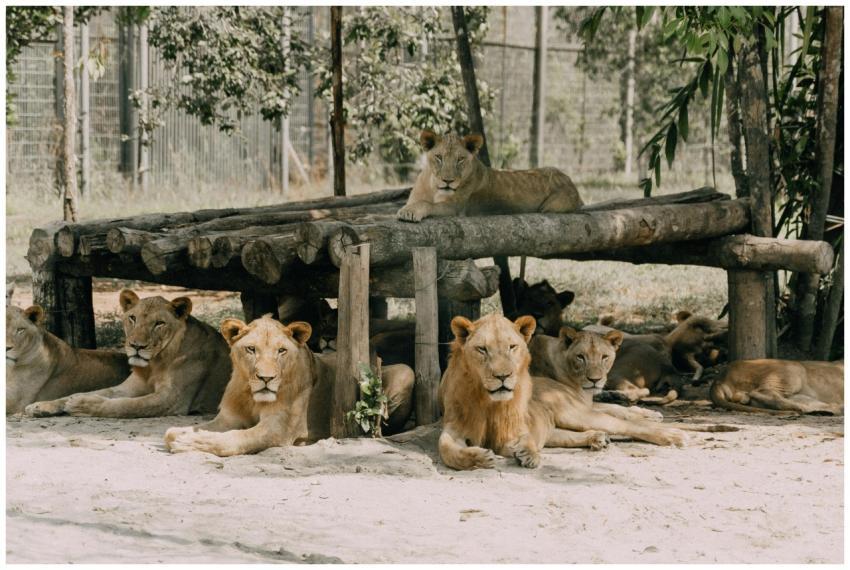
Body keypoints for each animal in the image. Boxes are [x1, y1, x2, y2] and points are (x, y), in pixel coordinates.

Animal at [24, 289, 231, 418]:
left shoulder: (173, 398)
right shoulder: (129, 388)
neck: (154, 364)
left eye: (159, 323)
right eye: (132, 318)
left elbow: (126, 405)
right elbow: (88, 392)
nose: (136, 346)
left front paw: (83, 405)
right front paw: (42, 405)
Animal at [164, 315, 415, 457]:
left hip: (405, 372)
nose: (266, 378)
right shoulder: (228, 418)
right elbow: (180, 431)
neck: (251, 395)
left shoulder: (278, 428)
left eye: (281, 351)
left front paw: (189, 441)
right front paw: (180, 434)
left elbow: (233, 439)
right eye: (251, 349)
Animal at [397, 130, 583, 223]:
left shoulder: (455, 209)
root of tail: (570, 181)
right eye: (439, 157)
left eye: (460, 159)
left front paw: (409, 212)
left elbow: (427, 204)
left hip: (551, 206)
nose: (448, 181)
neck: (433, 187)